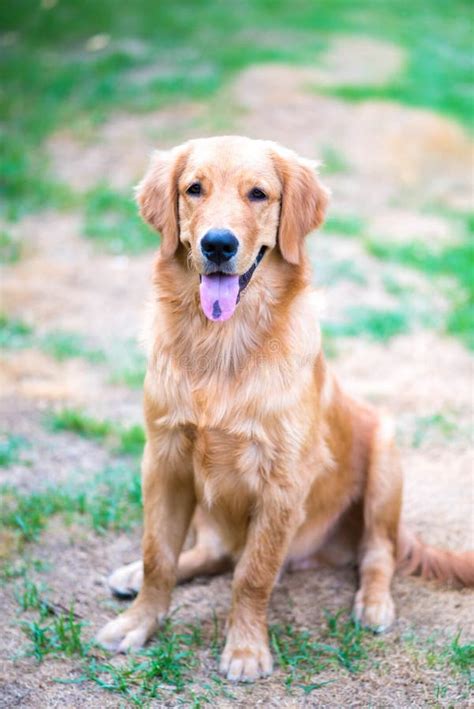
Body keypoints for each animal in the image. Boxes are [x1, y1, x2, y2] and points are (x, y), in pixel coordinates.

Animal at [97, 134, 474, 680]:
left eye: (258, 193)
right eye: (194, 188)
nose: (217, 244)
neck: (222, 345)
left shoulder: (282, 482)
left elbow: (252, 576)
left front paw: (245, 650)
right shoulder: (164, 459)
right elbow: (158, 556)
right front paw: (138, 622)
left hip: (385, 457)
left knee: (377, 552)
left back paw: (374, 603)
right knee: (212, 553)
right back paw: (131, 575)